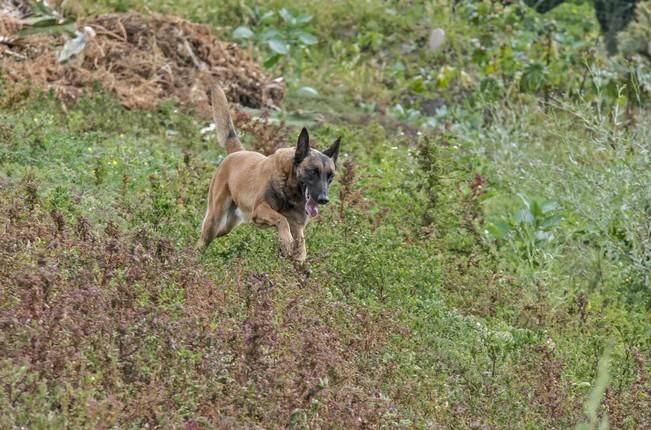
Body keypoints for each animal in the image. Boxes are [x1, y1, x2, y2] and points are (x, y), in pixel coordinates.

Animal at [197, 82, 342, 260]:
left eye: (330, 176)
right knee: (202, 240)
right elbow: (281, 219)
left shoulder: (298, 229)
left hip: (227, 226)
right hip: (214, 220)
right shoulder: (260, 210)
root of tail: (238, 153)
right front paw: (286, 242)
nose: (323, 199)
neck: (289, 189)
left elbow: (300, 249)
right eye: (312, 171)